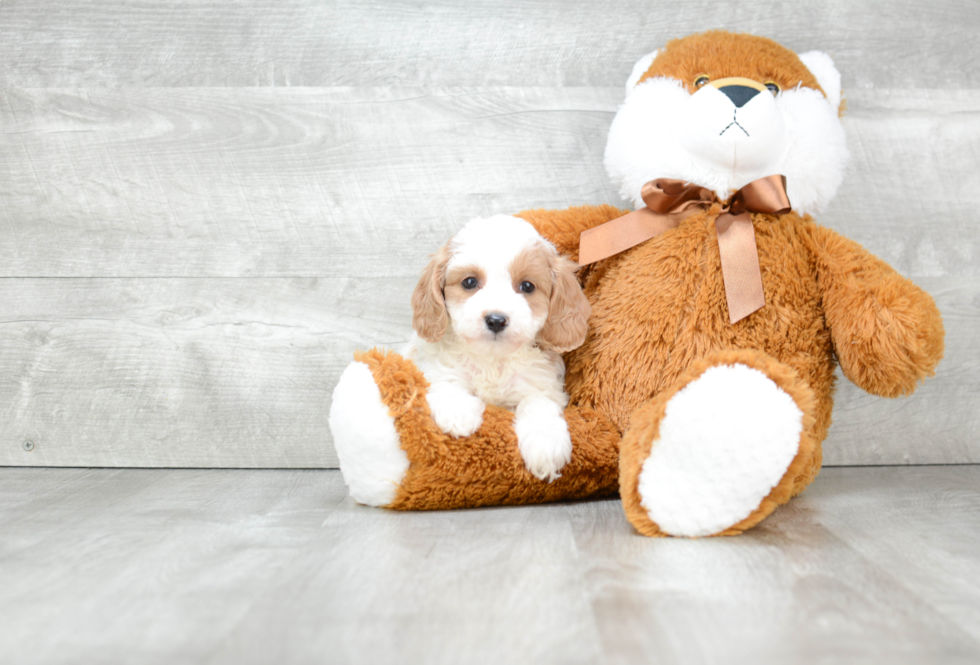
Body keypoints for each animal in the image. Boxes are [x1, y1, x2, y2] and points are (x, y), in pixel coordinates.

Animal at [404, 215, 588, 480]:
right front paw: (458, 412)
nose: (496, 320)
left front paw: (545, 444)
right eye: (470, 282)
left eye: (527, 286)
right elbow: (446, 381)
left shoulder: (542, 386)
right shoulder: (433, 368)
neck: (493, 359)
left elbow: (539, 404)